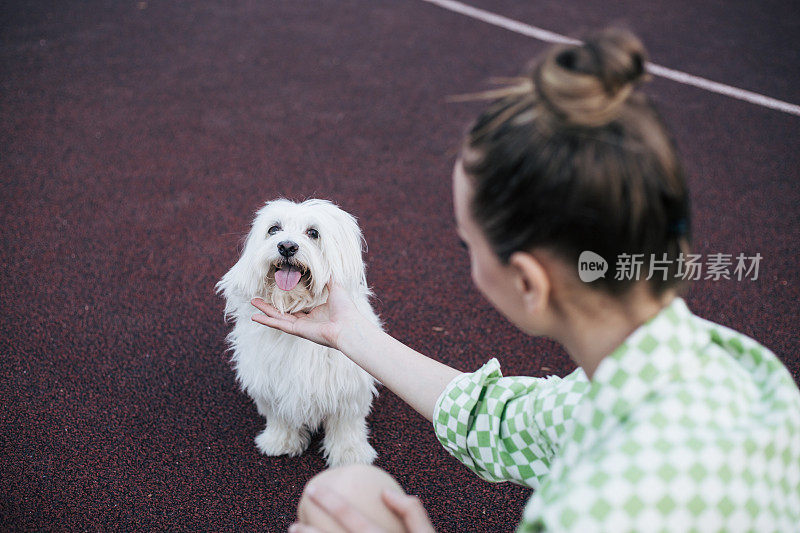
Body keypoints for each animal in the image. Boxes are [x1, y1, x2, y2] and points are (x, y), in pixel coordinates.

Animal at [217, 198, 380, 466]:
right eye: (274, 229)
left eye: (313, 233)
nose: (286, 246)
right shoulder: (271, 384)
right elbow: (280, 417)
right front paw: (280, 442)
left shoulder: (347, 389)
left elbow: (346, 425)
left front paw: (349, 454)